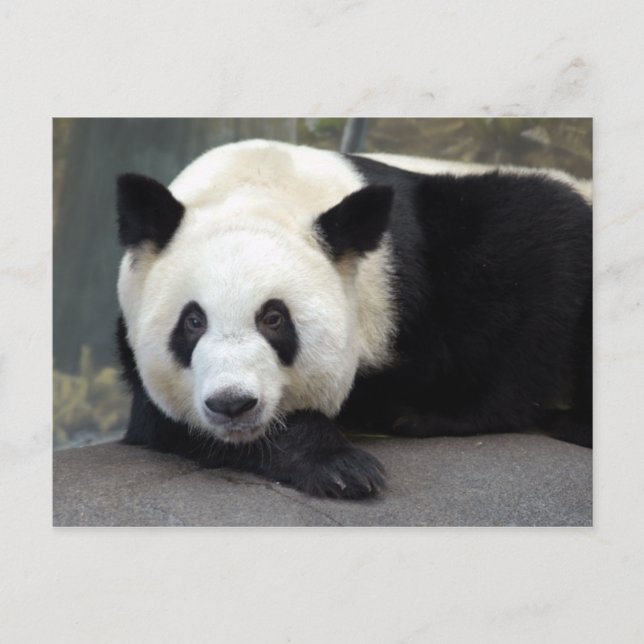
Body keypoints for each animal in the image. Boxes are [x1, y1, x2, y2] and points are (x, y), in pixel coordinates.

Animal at [115, 139, 592, 499]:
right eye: (193, 322)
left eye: (274, 318)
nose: (232, 403)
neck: (260, 184)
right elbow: (165, 422)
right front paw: (339, 465)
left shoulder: (419, 254)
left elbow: (538, 240)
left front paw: (437, 413)